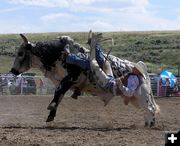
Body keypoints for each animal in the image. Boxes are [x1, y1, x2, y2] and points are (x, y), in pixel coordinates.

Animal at [9, 33, 160, 127]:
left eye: (21, 53)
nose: (13, 71)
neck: (57, 54)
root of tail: (141, 71)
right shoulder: (64, 81)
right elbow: (59, 95)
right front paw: (51, 115)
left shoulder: (71, 77)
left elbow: (59, 92)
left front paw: (51, 107)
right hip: (135, 98)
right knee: (146, 109)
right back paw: (147, 123)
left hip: (142, 94)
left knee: (151, 108)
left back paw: (151, 124)